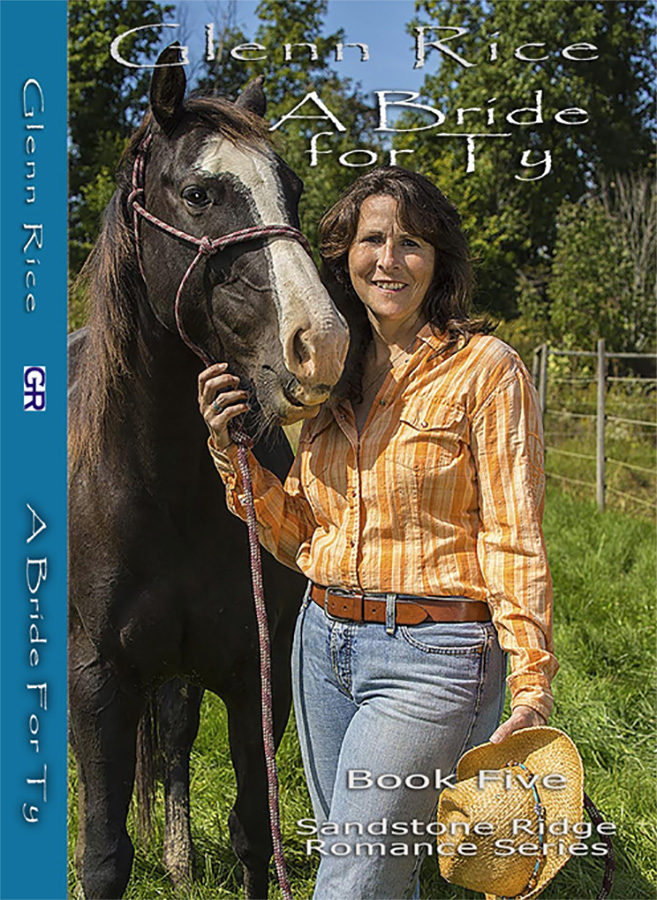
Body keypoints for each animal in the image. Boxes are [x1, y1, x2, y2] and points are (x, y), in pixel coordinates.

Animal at [68, 44, 349, 899]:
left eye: (292, 189)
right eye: (198, 194)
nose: (322, 344)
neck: (164, 491)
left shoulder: (252, 674)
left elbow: (255, 833)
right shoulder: (97, 680)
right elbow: (104, 854)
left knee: (173, 740)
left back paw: (178, 853)